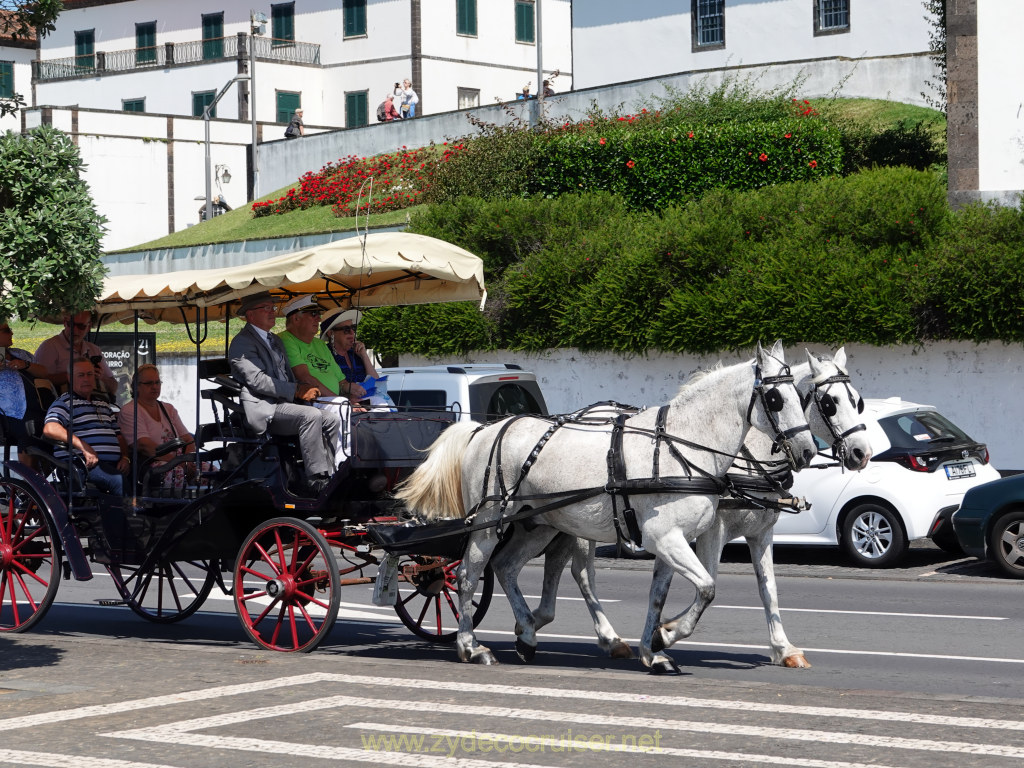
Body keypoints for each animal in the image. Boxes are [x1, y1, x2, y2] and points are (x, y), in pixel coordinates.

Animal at [393, 342, 815, 667]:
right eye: (776, 398)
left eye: (802, 397)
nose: (809, 451)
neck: (681, 445)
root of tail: (485, 428)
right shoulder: (666, 538)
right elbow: (708, 587)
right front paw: (667, 635)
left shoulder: (669, 541)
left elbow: (661, 595)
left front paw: (654, 649)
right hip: (489, 521)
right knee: (468, 575)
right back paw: (471, 646)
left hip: (540, 524)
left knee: (506, 567)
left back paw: (527, 633)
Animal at [495, 348, 872, 671]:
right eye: (830, 402)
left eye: (858, 401)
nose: (862, 453)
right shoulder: (712, 531)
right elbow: (707, 582)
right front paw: (666, 633)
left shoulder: (761, 532)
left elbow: (768, 590)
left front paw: (783, 648)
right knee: (581, 573)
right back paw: (601, 635)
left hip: (557, 520)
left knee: (552, 564)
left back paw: (539, 619)